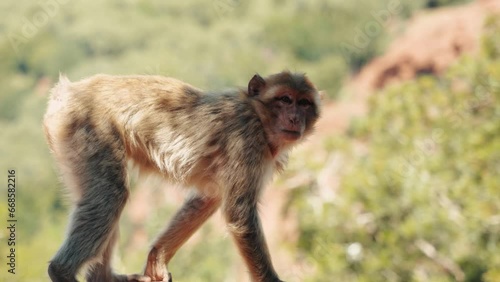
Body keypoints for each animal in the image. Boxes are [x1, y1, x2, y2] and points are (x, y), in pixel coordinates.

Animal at [45, 71, 322, 282]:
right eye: (285, 99)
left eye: (304, 103)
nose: (294, 118)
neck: (258, 117)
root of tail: (68, 91)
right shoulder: (246, 141)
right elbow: (240, 215)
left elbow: (208, 198)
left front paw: (156, 258)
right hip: (87, 126)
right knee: (111, 195)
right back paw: (62, 270)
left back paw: (102, 277)